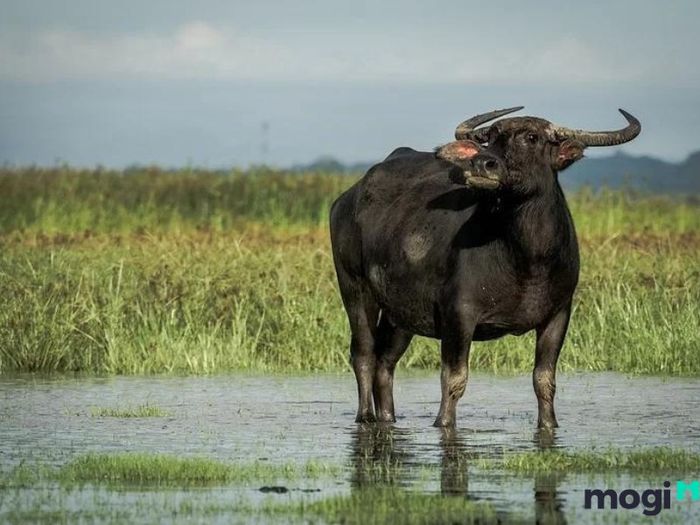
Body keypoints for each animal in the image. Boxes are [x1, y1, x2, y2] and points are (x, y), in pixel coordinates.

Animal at [330, 106, 644, 426]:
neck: (527, 261)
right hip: (354, 288)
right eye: (490, 138)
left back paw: (389, 417)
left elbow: (544, 380)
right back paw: (365, 416)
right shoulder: (458, 316)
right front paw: (443, 423)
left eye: (532, 137)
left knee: (386, 361)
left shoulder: (558, 315)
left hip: (400, 313)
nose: (482, 164)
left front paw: (549, 424)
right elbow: (453, 379)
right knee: (364, 354)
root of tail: (347, 199)